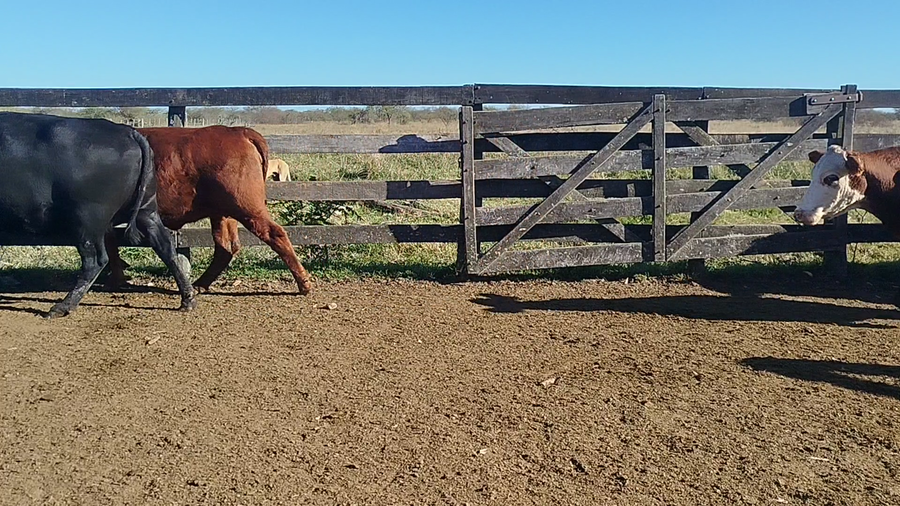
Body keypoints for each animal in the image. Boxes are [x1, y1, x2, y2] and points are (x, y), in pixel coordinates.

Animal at [0, 112, 196, 317]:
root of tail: (127, 131)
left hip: (88, 219)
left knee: (95, 260)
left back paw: (62, 307)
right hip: (146, 209)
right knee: (164, 245)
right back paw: (187, 298)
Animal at [103, 125, 313, 294]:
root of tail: (238, 131)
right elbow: (111, 244)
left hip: (247, 209)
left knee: (274, 233)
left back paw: (304, 284)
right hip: (222, 214)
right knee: (226, 247)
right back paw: (200, 284)